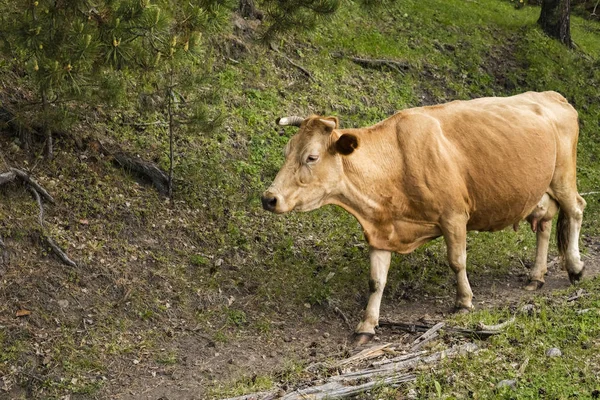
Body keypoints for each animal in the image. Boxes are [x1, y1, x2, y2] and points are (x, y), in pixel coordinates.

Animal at [262, 91, 584, 344]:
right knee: (544, 225)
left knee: (576, 209)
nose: (269, 198)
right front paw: (366, 325)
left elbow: (457, 261)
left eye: (311, 157)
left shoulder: (454, 215)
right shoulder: (381, 229)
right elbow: (376, 281)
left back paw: (576, 267)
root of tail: (553, 95)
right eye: (287, 151)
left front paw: (464, 302)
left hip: (563, 177)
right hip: (541, 190)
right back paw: (536, 277)